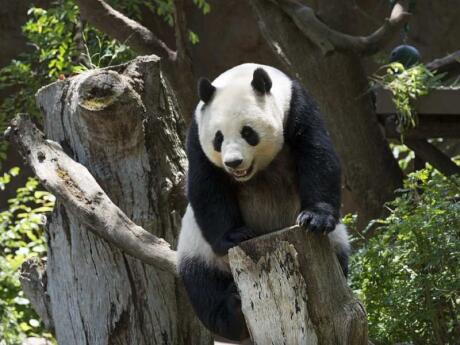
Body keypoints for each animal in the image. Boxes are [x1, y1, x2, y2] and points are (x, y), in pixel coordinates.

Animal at [176, 63, 348, 340]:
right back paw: (233, 309)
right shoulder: (196, 132)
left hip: (336, 243)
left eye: (248, 132)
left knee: (340, 257)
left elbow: (317, 154)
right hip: (197, 251)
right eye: (218, 138)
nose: (233, 162)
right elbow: (207, 185)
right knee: (204, 289)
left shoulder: (297, 107)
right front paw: (236, 235)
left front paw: (315, 218)